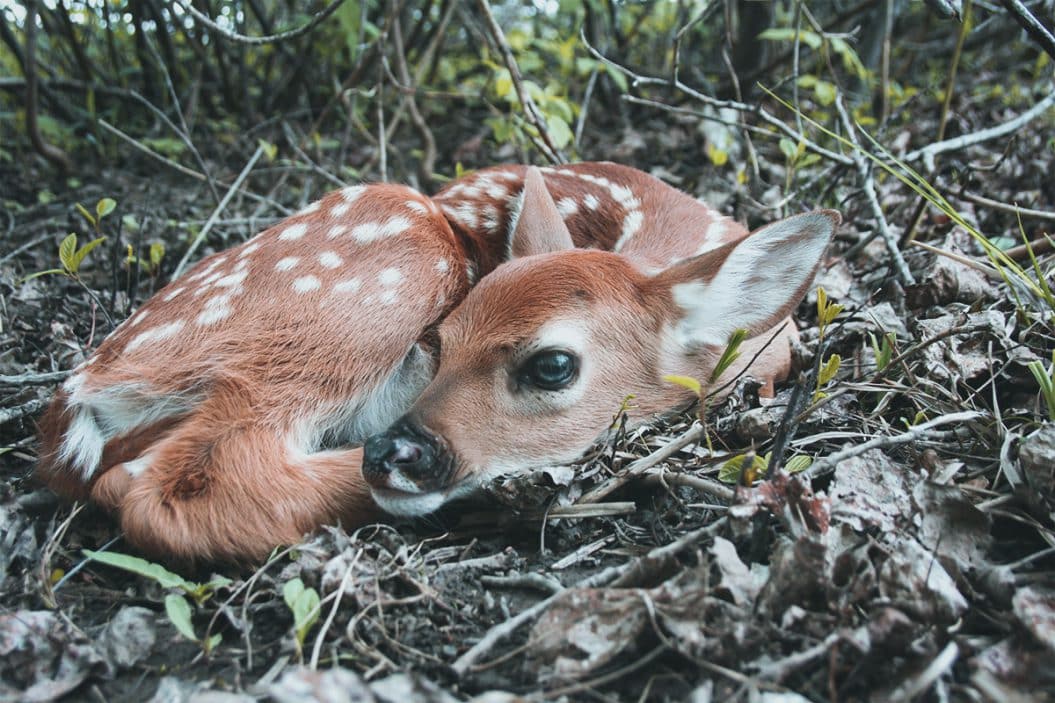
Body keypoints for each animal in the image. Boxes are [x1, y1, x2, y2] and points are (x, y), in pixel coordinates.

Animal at [36, 162, 838, 563]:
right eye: (440, 341)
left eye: (553, 365)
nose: (393, 452)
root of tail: (79, 389)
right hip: (391, 259)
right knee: (190, 480)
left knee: (129, 476)